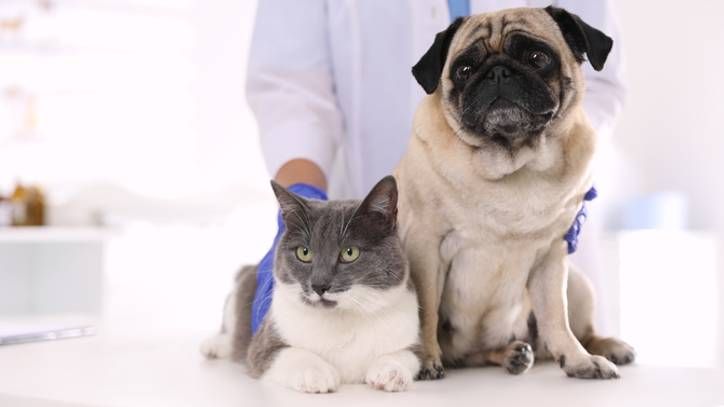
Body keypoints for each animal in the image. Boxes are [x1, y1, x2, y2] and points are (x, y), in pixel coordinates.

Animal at [201, 177, 422, 394]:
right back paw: (215, 345)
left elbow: (408, 355)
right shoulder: (263, 345)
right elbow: (284, 353)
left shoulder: (412, 334)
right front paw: (316, 373)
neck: (342, 320)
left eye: (350, 252)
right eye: (304, 252)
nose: (319, 284)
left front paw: (391, 370)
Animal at [394, 6, 636, 380]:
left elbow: (556, 317)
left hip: (578, 283)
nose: (498, 72)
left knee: (577, 329)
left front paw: (578, 360)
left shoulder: (553, 254)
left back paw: (599, 348)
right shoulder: (425, 246)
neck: (513, 162)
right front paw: (425, 359)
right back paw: (508, 354)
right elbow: (427, 311)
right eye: (464, 70)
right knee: (469, 353)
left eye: (537, 58)